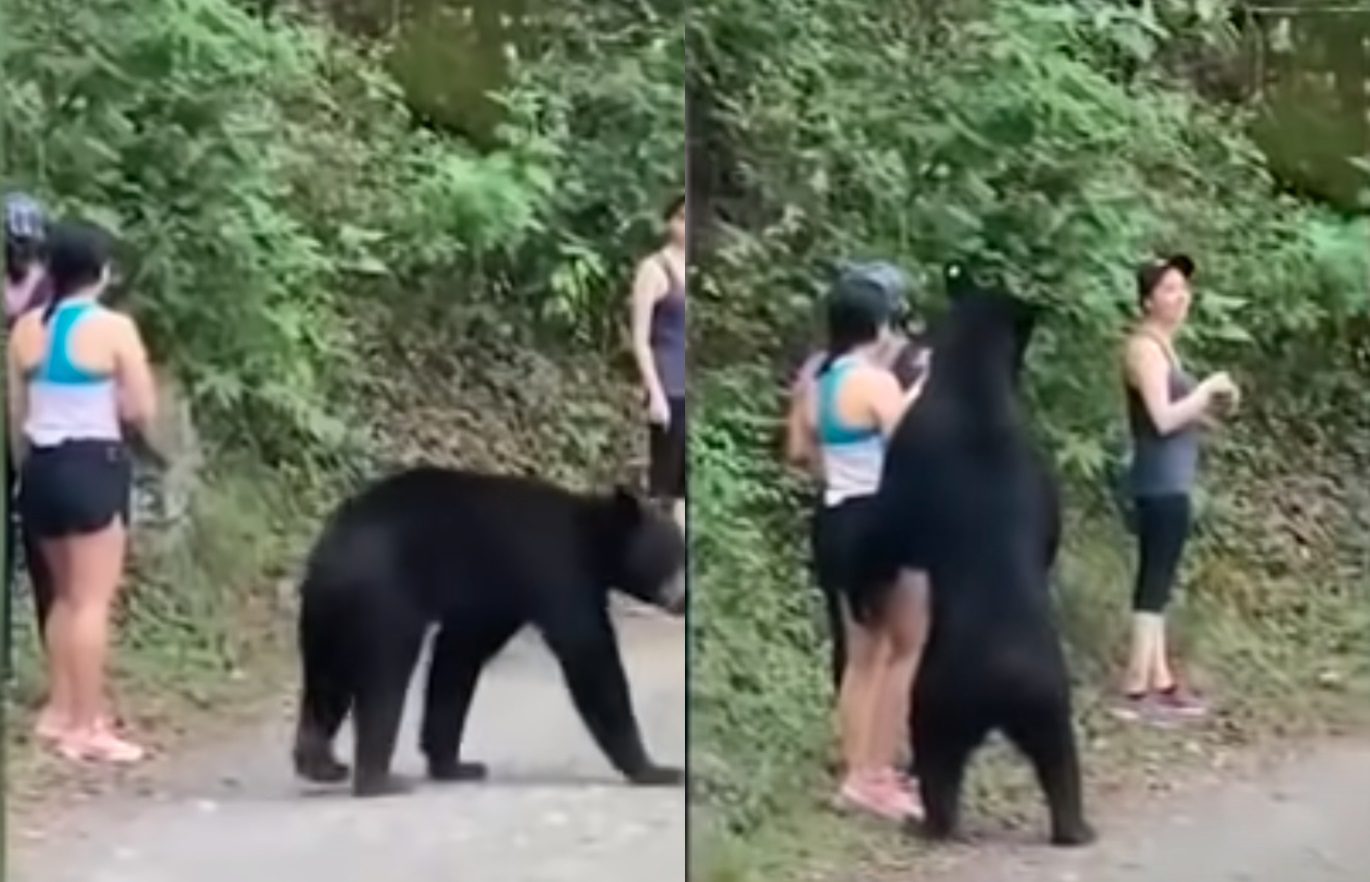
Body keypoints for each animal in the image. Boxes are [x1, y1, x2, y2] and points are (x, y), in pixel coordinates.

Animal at [289, 468, 685, 799]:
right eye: (673, 556)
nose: (682, 600)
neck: (593, 540)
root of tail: (332, 550)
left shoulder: (497, 598)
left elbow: (459, 655)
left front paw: (453, 764)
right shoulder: (554, 569)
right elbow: (589, 654)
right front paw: (656, 770)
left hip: (326, 614)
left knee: (327, 677)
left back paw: (320, 762)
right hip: (385, 597)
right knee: (384, 676)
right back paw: (378, 780)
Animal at [849, 267, 1096, 849]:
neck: (977, 386)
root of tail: (1005, 679)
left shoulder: (911, 455)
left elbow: (892, 531)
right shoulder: (1040, 476)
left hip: (939, 694)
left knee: (937, 756)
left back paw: (929, 822)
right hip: (1051, 699)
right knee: (1061, 761)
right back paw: (1075, 827)